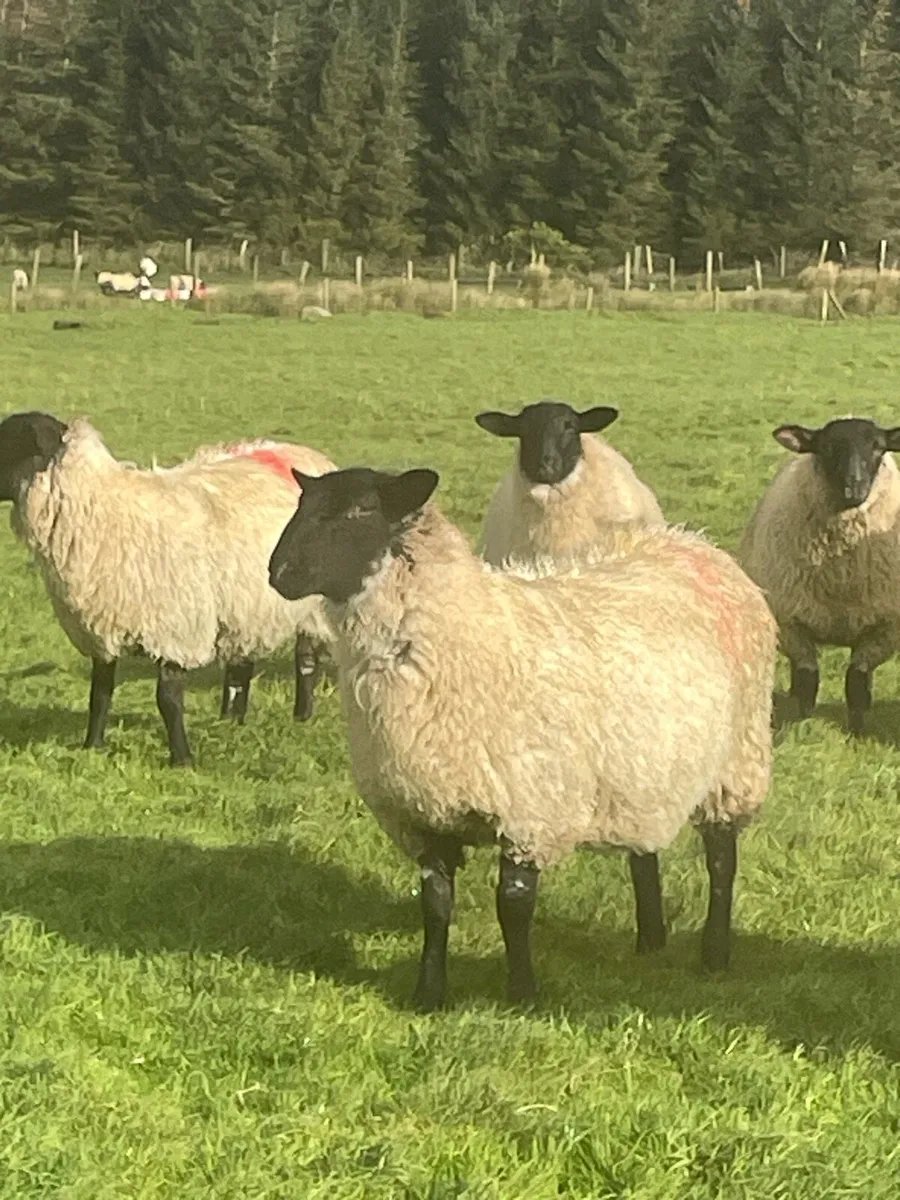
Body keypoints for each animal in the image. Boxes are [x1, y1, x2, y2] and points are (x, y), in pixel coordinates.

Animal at [0, 412, 336, 766]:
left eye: (6, 440)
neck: (103, 513)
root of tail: (305, 453)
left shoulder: (174, 628)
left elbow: (168, 698)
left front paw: (182, 759)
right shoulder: (102, 627)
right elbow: (100, 693)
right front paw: (92, 746)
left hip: (312, 602)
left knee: (306, 658)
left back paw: (302, 715)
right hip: (244, 602)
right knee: (241, 664)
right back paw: (231, 720)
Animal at [268, 465, 776, 1011]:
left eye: (360, 510)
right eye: (304, 503)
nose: (278, 572)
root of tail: (693, 543)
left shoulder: (529, 810)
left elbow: (512, 905)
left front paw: (522, 994)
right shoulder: (425, 812)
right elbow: (435, 904)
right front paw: (429, 993)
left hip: (737, 761)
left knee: (721, 860)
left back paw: (714, 954)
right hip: (640, 763)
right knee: (644, 847)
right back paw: (650, 939)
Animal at [739, 417, 900, 735]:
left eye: (878, 447)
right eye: (826, 448)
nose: (853, 488)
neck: (841, 577)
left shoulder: (885, 628)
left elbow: (856, 681)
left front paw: (857, 730)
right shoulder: (790, 622)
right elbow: (806, 678)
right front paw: (802, 724)